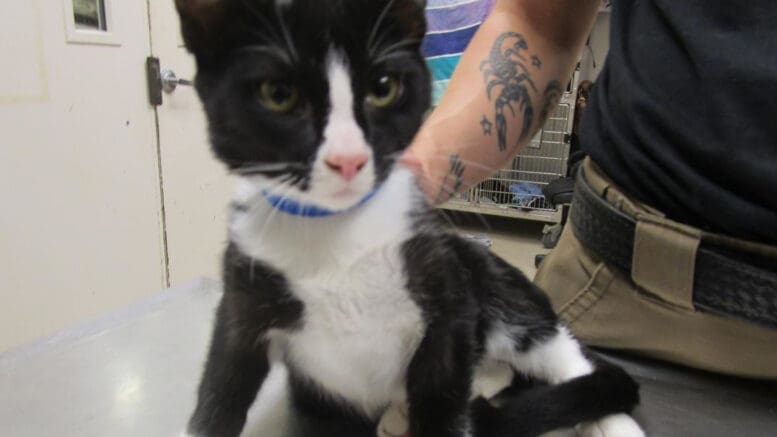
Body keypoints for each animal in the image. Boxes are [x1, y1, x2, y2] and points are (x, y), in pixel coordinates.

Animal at [174, 0, 644, 436]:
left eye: (383, 88)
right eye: (279, 94)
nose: (348, 159)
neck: (338, 232)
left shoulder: (447, 297)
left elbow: (444, 389)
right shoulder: (244, 298)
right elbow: (221, 386)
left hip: (490, 280)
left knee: (560, 354)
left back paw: (614, 422)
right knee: (502, 368)